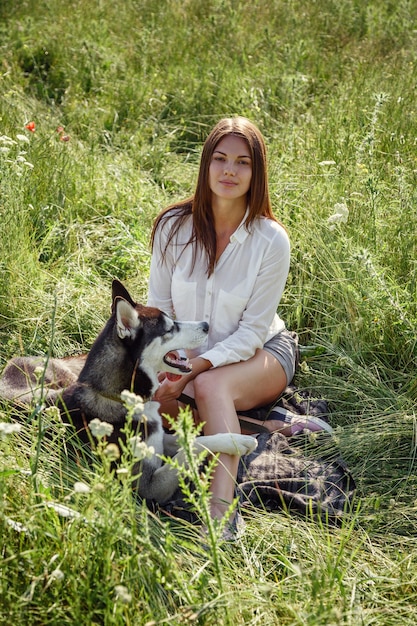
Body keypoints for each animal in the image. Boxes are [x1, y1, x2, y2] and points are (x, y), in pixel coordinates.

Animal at [0, 280, 255, 502]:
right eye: (169, 329)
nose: (206, 326)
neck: (120, 398)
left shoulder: (158, 438)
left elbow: (193, 438)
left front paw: (236, 440)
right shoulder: (148, 488)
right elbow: (193, 445)